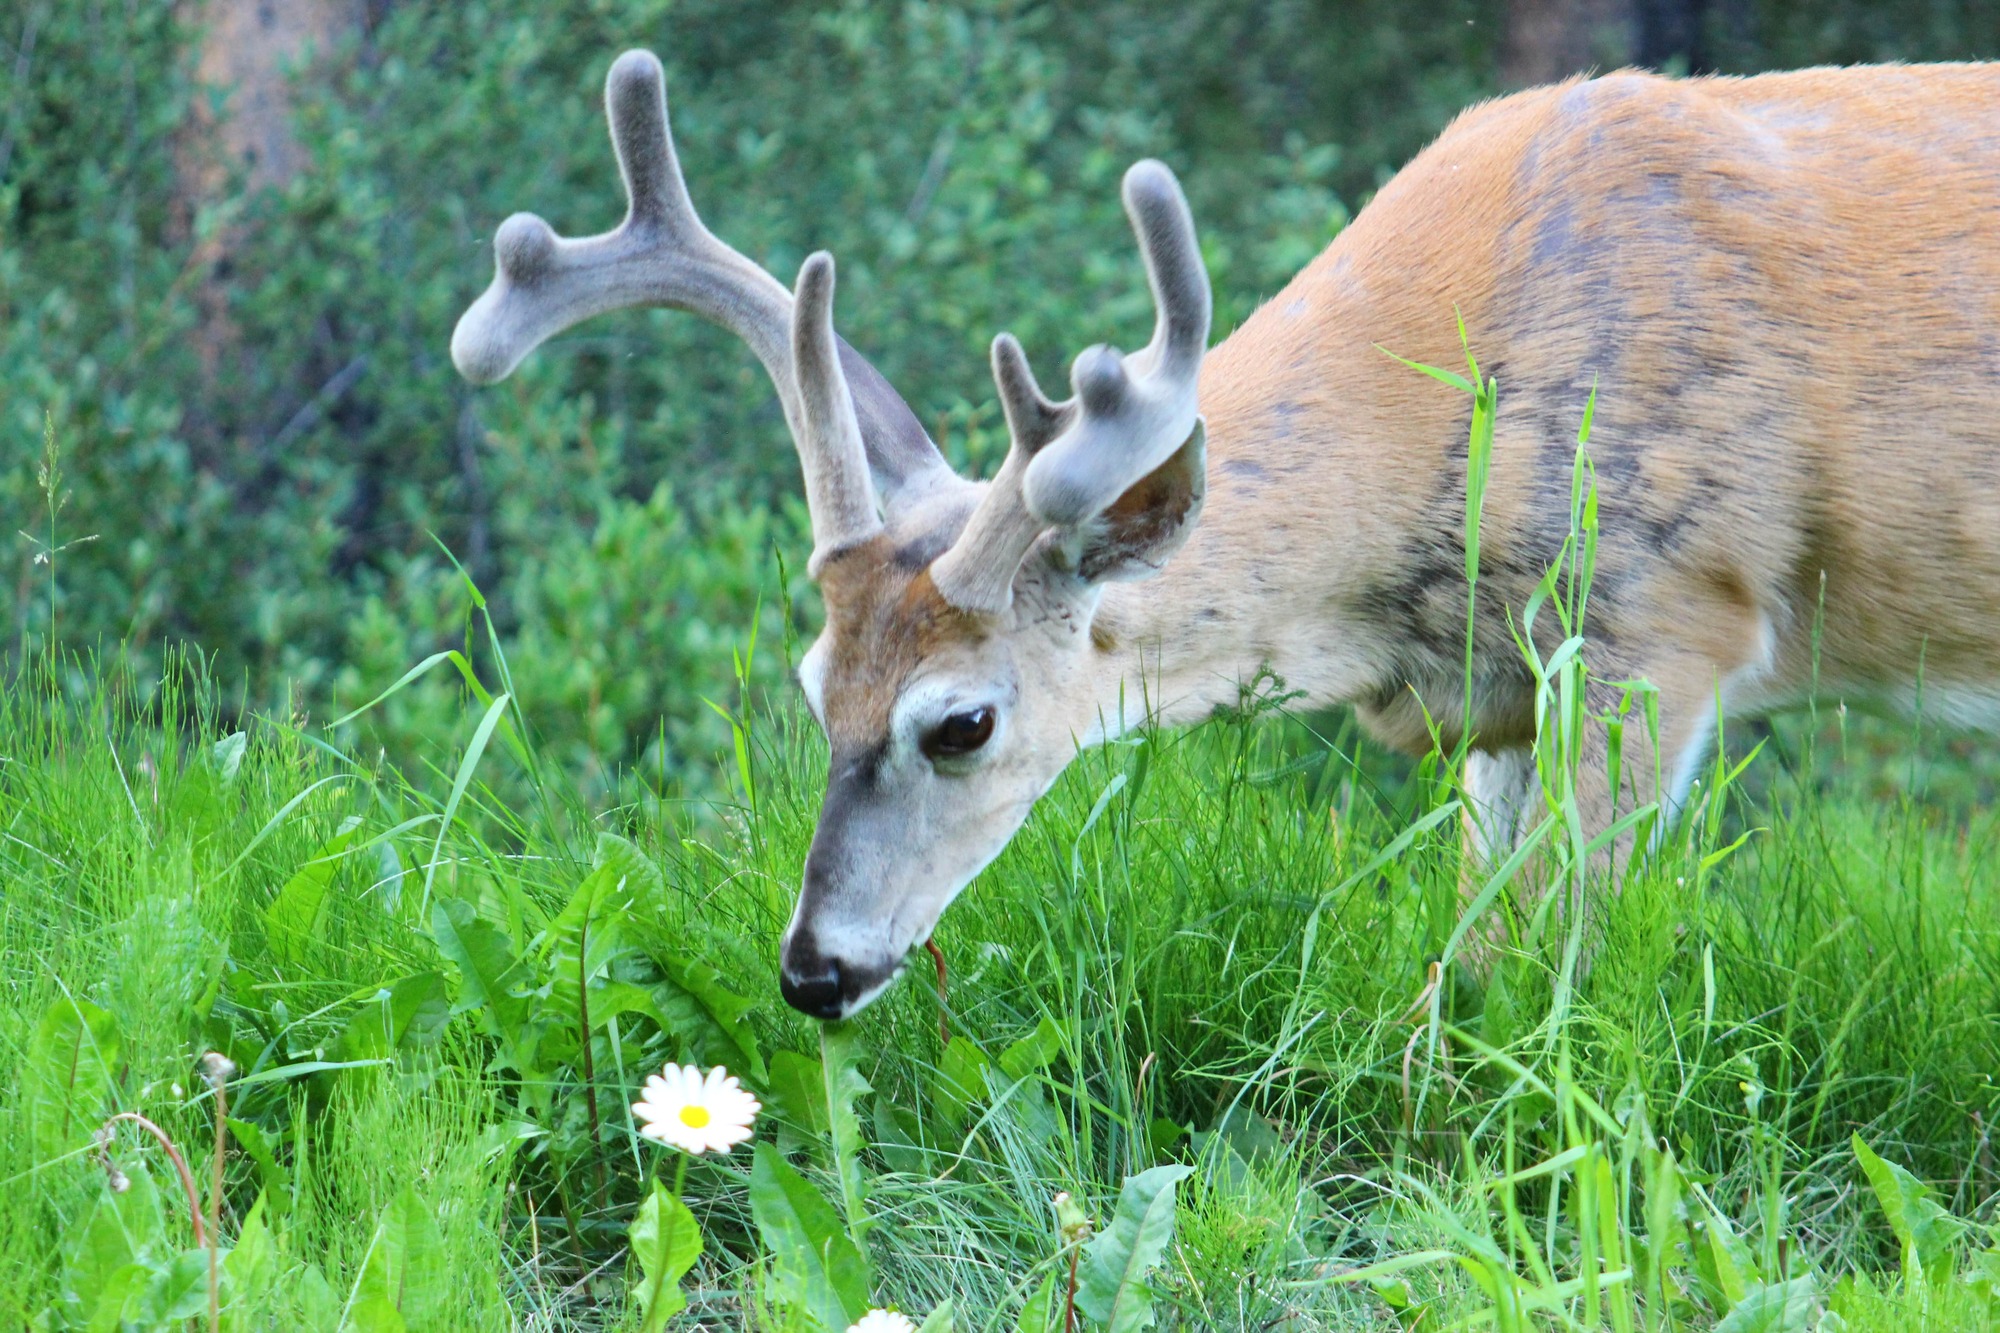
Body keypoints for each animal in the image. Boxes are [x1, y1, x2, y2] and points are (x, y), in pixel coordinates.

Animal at [455, 50, 2000, 1018]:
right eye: (810, 683)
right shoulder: (1506, 692)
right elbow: (1468, 959)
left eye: (960, 721)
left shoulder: (1666, 610)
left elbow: (1526, 965)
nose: (813, 972)